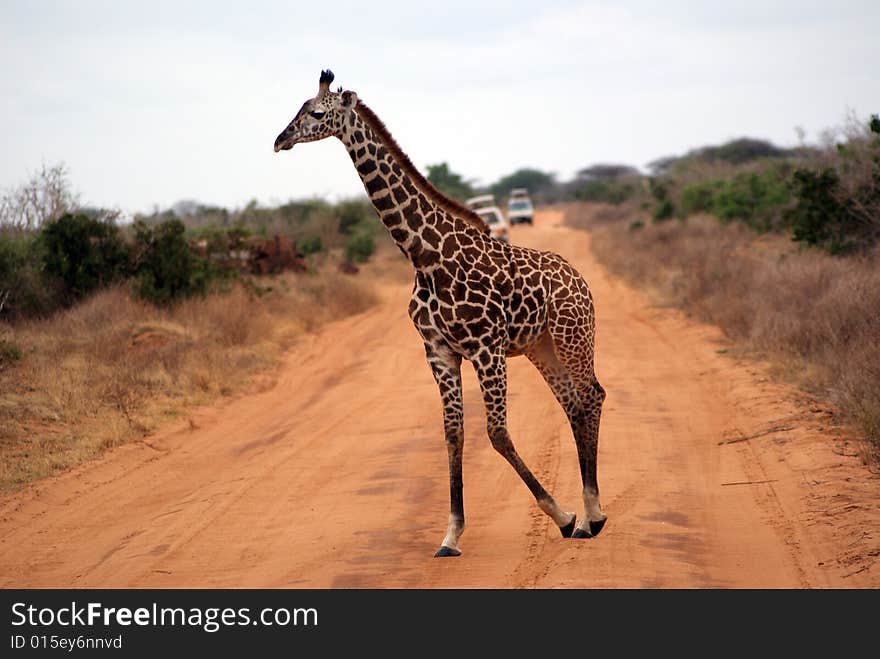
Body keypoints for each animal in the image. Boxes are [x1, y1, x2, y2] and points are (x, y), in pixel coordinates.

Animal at [274, 72, 604, 556]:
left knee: (593, 395)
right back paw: (588, 518)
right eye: (296, 109)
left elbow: (496, 433)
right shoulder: (439, 353)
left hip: (573, 334)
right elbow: (453, 435)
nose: (280, 139)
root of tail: (580, 278)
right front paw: (450, 536)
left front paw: (561, 516)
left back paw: (593, 515)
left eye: (316, 112)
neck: (425, 257)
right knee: (574, 404)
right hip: (541, 346)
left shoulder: (486, 348)